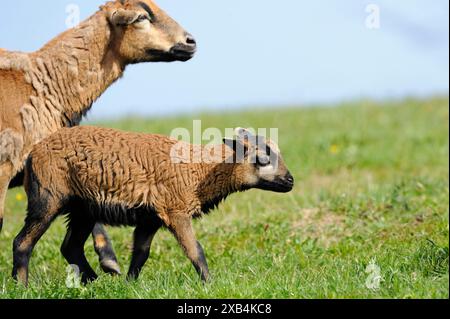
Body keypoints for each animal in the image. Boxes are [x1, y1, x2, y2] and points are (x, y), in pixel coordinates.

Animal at [11, 126, 296, 286]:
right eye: (261, 159)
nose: (291, 181)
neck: (197, 170)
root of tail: (32, 154)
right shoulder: (175, 211)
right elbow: (195, 251)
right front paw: (210, 285)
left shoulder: (150, 219)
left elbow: (140, 254)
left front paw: (129, 286)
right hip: (47, 198)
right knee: (22, 242)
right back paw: (21, 287)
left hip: (84, 208)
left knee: (70, 247)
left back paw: (93, 283)